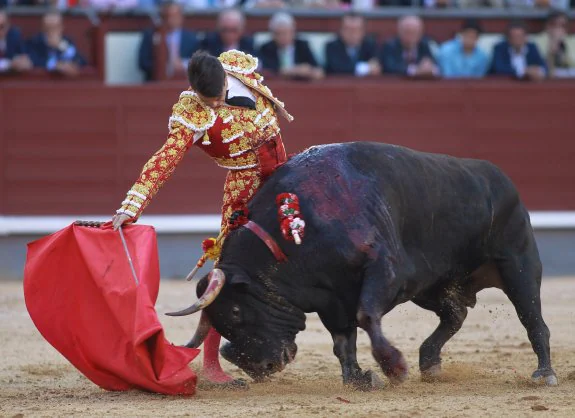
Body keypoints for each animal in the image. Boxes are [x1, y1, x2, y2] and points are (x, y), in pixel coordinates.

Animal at [169, 142, 556, 390]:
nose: (256, 367)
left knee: (533, 320)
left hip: (518, 264)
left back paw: (544, 374)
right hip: (434, 286)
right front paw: (358, 379)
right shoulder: (331, 297)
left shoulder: (384, 272)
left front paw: (393, 367)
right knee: (456, 313)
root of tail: (500, 178)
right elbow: (343, 340)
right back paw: (430, 362)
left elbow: (366, 317)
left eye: (235, 312)